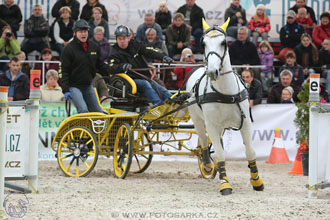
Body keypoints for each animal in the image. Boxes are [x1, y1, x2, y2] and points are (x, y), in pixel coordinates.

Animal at [187, 18, 264, 194]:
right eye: (203, 43)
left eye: (224, 43)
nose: (212, 72)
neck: (225, 93)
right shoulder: (212, 125)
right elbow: (220, 154)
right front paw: (225, 184)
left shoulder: (246, 123)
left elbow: (250, 151)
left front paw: (256, 181)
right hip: (198, 120)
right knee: (203, 142)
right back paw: (208, 165)